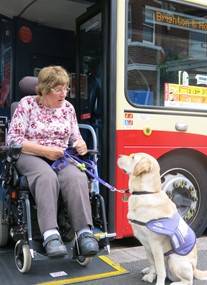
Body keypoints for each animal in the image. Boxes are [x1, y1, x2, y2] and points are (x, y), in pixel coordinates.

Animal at [117, 152, 207, 284]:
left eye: (133, 157)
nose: (119, 156)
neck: (145, 193)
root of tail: (195, 269)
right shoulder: (146, 244)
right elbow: (152, 262)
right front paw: (150, 275)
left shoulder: (156, 245)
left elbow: (160, 269)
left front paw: (158, 281)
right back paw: (147, 270)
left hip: (174, 260)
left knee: (188, 280)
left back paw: (175, 283)